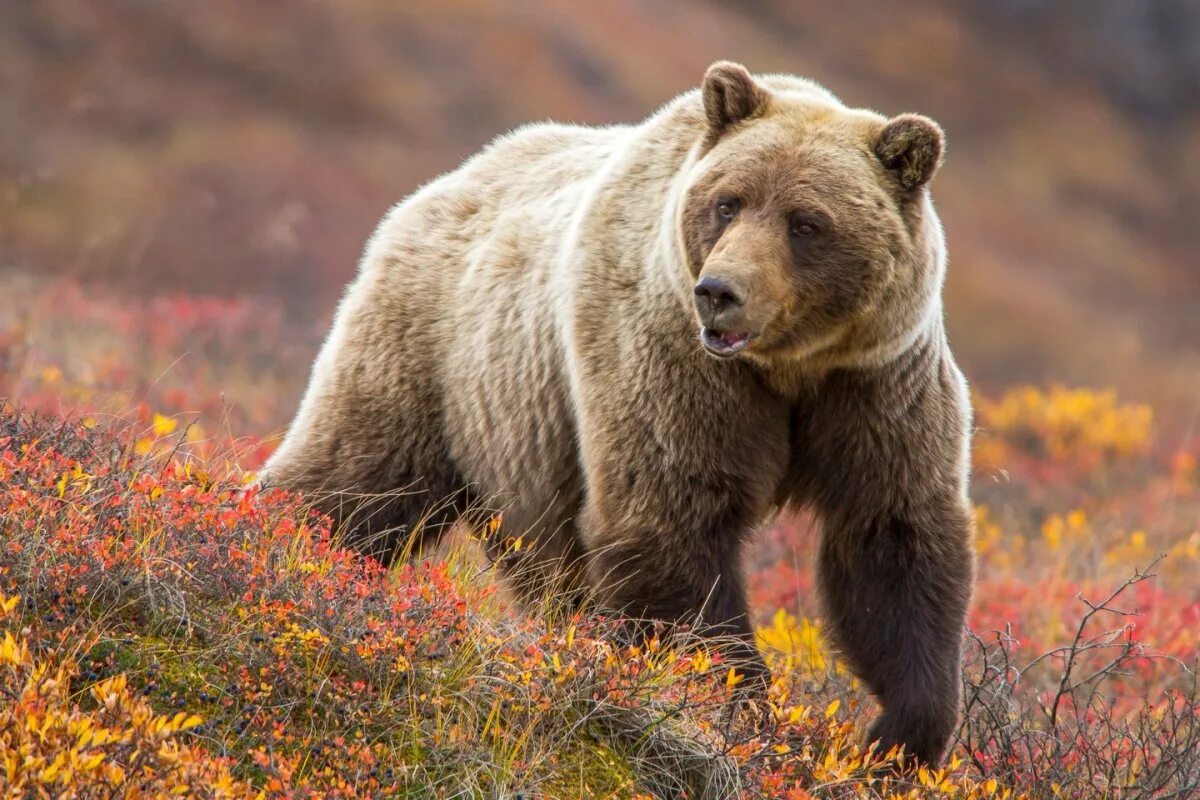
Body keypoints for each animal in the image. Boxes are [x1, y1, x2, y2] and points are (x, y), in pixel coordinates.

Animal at [262, 61, 974, 762]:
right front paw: (738, 709)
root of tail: (443, 185)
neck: (787, 367)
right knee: (354, 479)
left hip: (525, 452)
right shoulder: (670, 363)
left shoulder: (875, 386)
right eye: (728, 202)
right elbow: (672, 524)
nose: (719, 292)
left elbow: (891, 538)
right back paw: (280, 543)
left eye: (806, 222)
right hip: (433, 356)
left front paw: (900, 738)